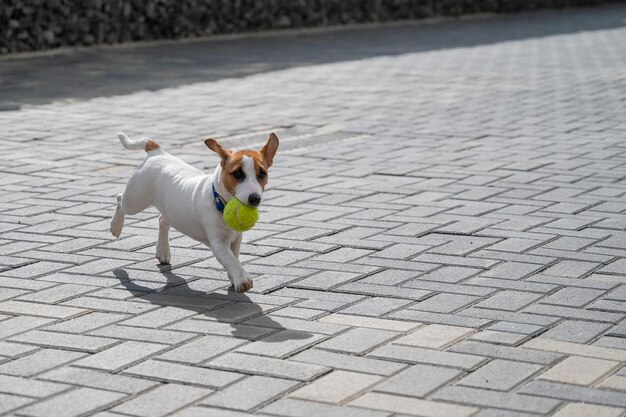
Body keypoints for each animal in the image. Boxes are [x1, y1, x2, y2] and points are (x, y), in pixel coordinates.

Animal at [111, 132, 280, 292]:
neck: (218, 201)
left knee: (162, 220)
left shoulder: (236, 239)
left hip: (167, 209)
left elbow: (235, 258)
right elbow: (232, 260)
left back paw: (163, 250)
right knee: (120, 199)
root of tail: (157, 152)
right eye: (238, 174)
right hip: (135, 199)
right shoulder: (218, 244)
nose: (255, 198)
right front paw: (242, 280)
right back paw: (115, 227)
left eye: (262, 174)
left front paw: (235, 277)